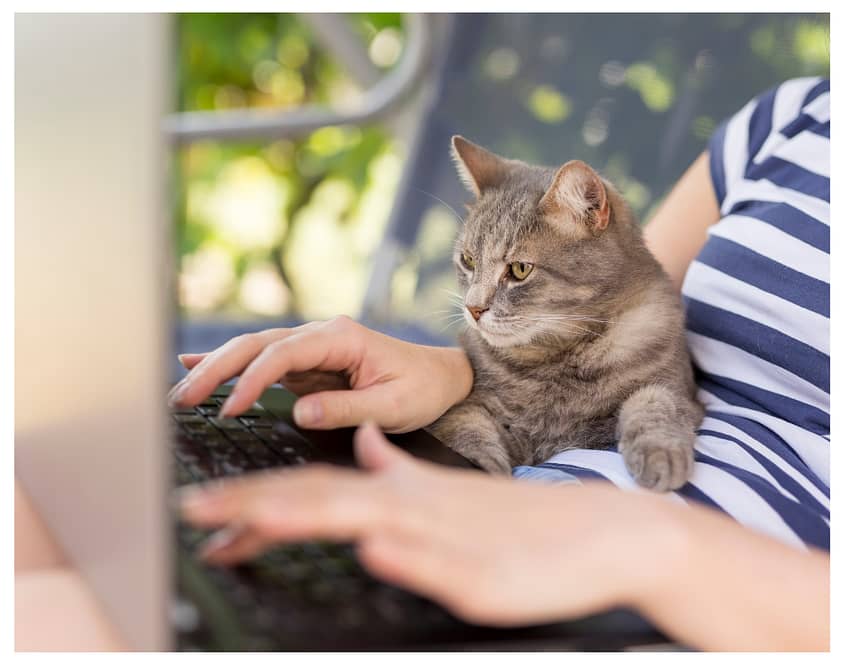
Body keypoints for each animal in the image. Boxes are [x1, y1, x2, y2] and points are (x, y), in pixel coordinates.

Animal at [430, 135, 704, 490]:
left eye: (520, 269)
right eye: (468, 260)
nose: (473, 308)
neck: (558, 358)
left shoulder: (681, 390)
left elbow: (656, 402)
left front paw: (661, 451)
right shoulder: (470, 403)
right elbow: (466, 430)